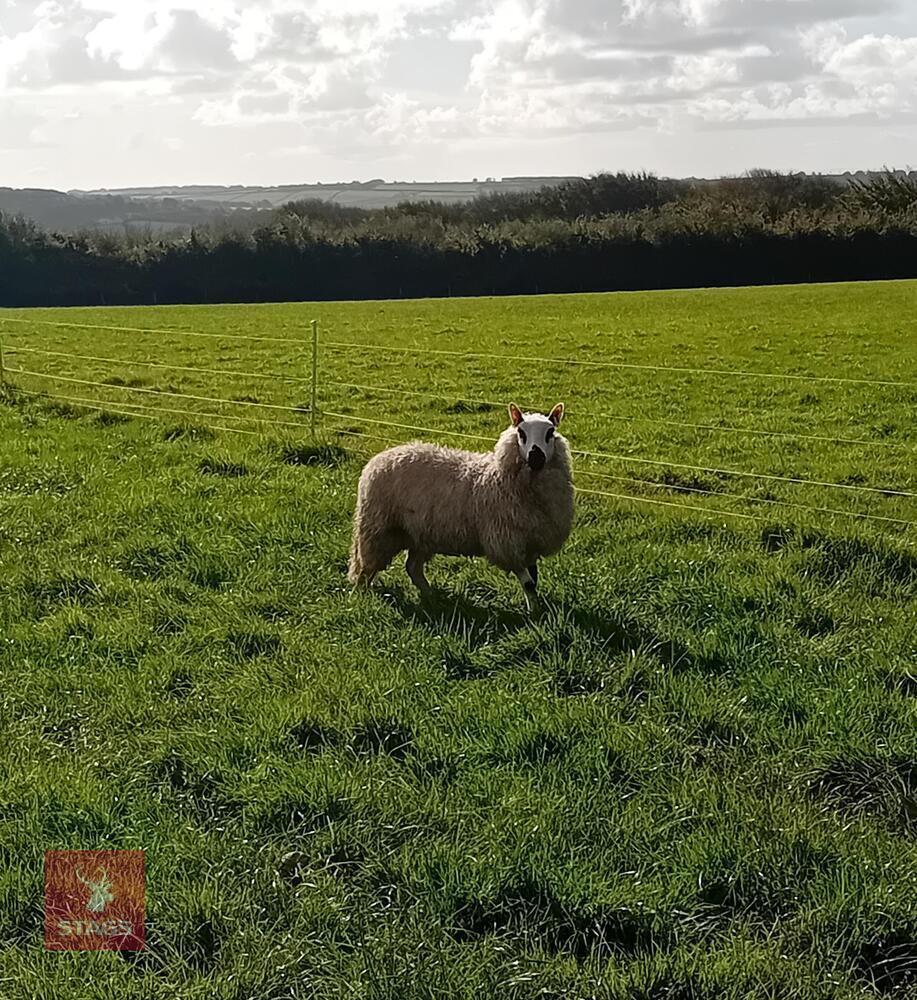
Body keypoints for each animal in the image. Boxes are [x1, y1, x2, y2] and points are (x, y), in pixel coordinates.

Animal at [348, 402, 574, 604]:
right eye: (521, 432)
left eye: (550, 432)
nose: (536, 457)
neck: (498, 476)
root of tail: (382, 456)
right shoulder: (505, 543)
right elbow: (528, 582)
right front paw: (535, 611)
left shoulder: (531, 542)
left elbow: (533, 581)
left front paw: (536, 609)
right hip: (377, 530)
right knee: (366, 568)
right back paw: (360, 596)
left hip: (420, 534)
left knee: (412, 567)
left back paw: (432, 596)